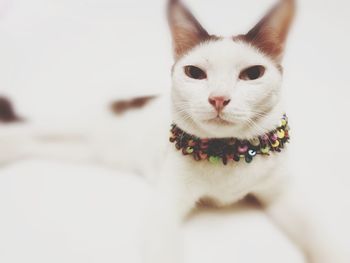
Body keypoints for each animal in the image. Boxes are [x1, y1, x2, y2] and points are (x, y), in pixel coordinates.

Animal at [0, 0, 348, 263]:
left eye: (253, 74)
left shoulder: (283, 195)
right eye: (194, 73)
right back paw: (7, 145)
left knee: (38, 144)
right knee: (33, 128)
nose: (218, 98)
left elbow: (320, 235)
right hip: (77, 125)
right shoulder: (165, 206)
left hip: (87, 152)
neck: (227, 153)